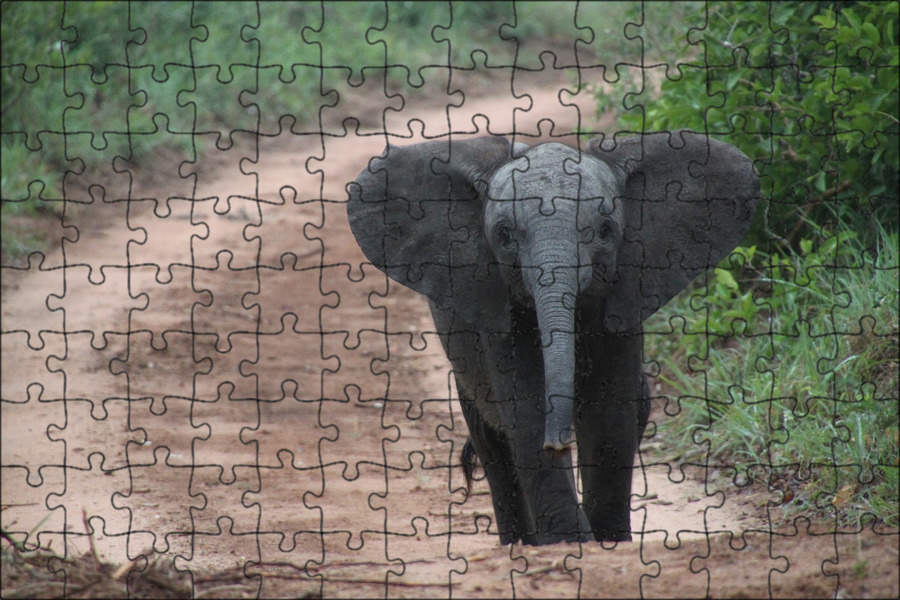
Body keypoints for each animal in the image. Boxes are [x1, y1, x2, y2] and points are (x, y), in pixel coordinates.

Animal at [346, 131, 759, 545]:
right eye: (504, 235)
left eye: (606, 230)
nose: (558, 444)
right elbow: (526, 410)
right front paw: (569, 540)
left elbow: (611, 415)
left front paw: (608, 540)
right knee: (491, 444)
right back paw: (520, 543)